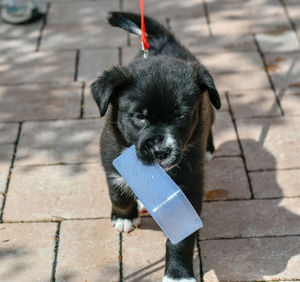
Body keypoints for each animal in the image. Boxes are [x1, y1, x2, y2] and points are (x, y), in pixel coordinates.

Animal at [90, 12, 219, 280]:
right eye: (139, 116)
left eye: (181, 116)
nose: (161, 151)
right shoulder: (110, 158)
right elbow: (117, 193)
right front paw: (123, 217)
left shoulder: (189, 184)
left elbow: (182, 240)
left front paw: (178, 274)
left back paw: (209, 148)